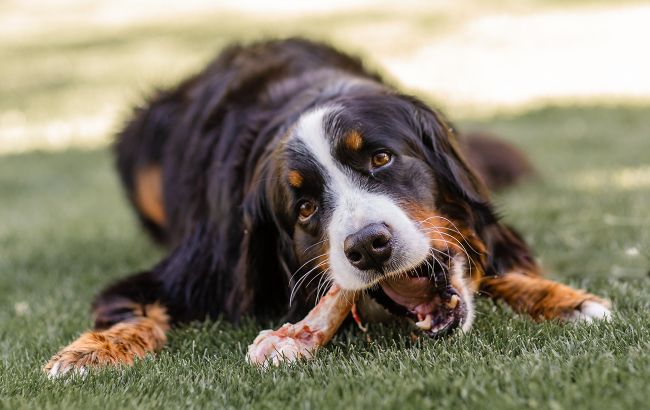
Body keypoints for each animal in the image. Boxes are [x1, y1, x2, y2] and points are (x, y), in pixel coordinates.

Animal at [43, 36, 612, 376]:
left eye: (381, 158)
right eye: (305, 208)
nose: (369, 246)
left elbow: (497, 259)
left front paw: (564, 299)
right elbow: (131, 310)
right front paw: (89, 352)